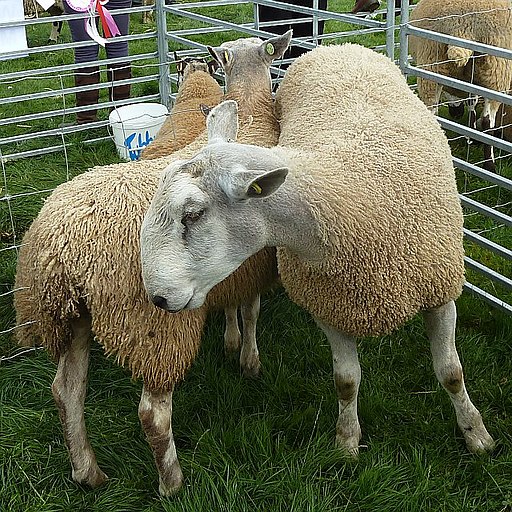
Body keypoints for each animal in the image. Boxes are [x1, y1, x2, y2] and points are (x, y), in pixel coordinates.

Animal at [13, 31, 292, 496]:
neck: (250, 112)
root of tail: (62, 246)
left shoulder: (228, 272)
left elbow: (234, 308)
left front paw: (231, 341)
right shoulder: (250, 265)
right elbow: (252, 312)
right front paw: (250, 361)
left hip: (68, 317)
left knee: (65, 390)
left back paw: (88, 471)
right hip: (153, 325)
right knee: (152, 414)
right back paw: (172, 482)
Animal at [141, 43, 496, 460]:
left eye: (193, 214)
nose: (158, 298)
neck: (349, 194)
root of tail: (338, 46)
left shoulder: (441, 293)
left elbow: (452, 373)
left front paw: (477, 434)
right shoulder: (329, 306)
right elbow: (346, 380)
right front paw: (347, 441)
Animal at [408, 0, 512, 173]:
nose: (455, 113)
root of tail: (462, 25)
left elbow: (471, 102)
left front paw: (471, 135)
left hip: (431, 63)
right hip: (497, 71)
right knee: (487, 122)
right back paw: (489, 166)